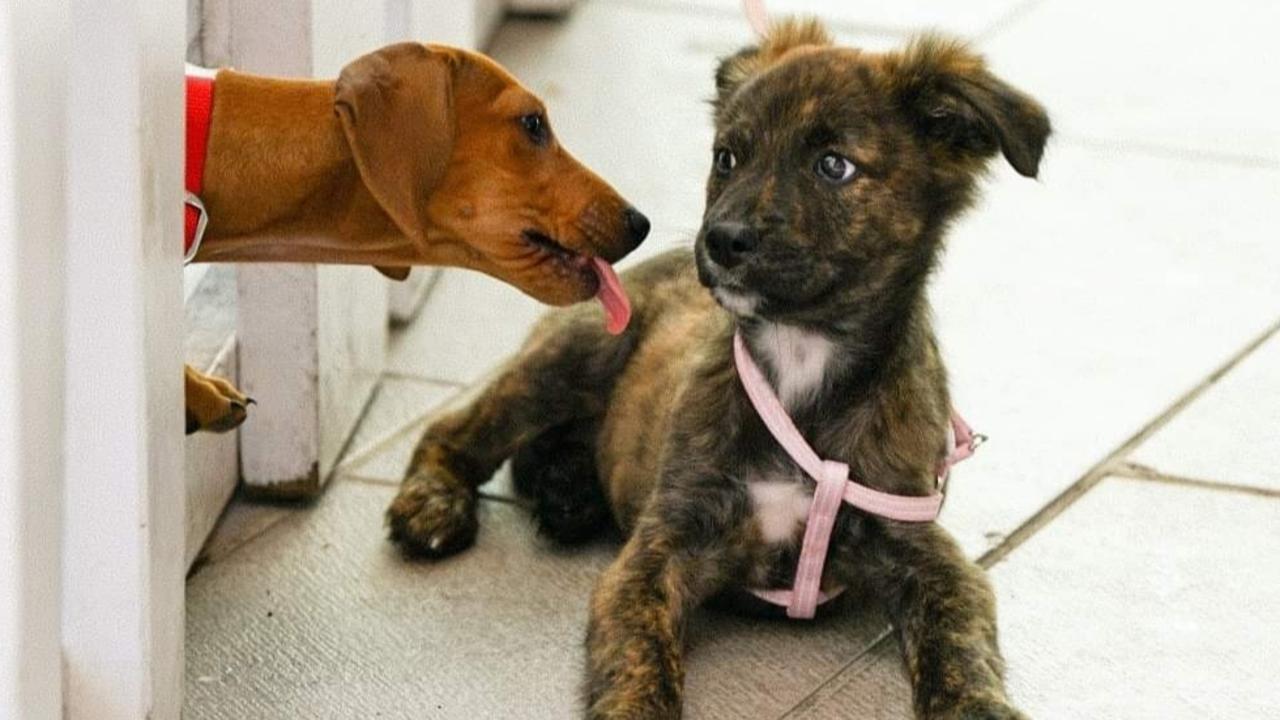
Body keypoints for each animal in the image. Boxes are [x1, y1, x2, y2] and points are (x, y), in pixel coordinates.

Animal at [386, 19, 1049, 717]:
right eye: (727, 157)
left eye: (834, 165)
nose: (722, 240)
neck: (800, 359)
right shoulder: (661, 549)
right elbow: (640, 656)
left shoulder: (927, 553)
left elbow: (961, 646)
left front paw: (977, 704)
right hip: (578, 353)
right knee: (455, 431)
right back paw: (436, 504)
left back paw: (570, 493)